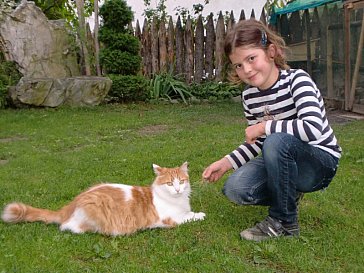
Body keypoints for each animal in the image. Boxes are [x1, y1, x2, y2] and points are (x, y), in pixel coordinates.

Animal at [0, 162, 205, 234]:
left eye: (181, 181)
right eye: (170, 184)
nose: (177, 189)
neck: (178, 200)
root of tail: (72, 203)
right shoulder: (170, 219)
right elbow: (190, 216)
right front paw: (199, 214)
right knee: (66, 227)